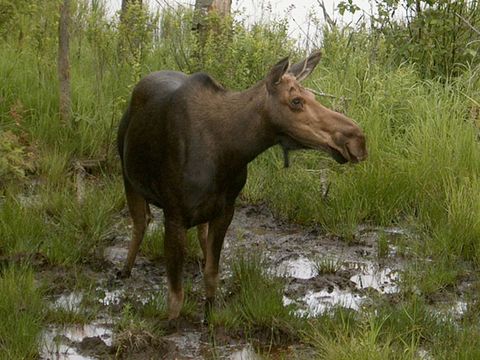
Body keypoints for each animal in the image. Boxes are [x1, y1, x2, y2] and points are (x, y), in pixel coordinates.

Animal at [117, 52, 368, 324]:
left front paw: (209, 318)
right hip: (127, 176)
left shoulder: (226, 209)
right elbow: (175, 298)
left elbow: (212, 276)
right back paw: (125, 271)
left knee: (198, 233)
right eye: (296, 101)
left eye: (312, 96)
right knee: (140, 223)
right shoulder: (174, 215)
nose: (358, 139)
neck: (230, 151)